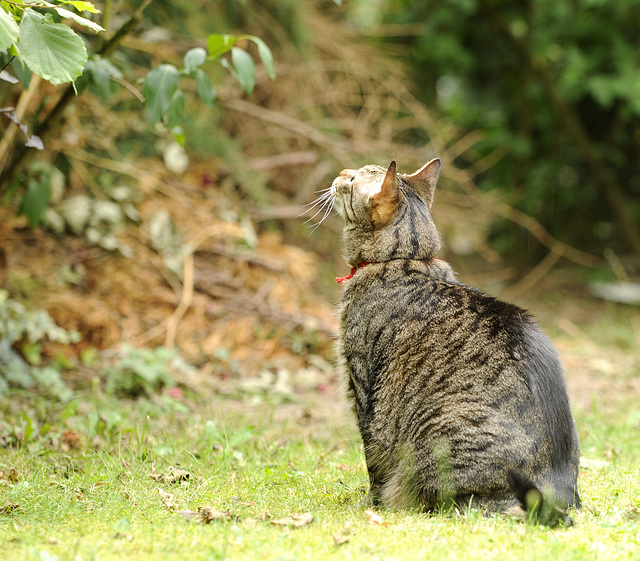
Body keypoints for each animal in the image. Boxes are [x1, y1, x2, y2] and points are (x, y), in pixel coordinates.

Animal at [328, 159, 584, 524]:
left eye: (352, 179)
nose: (339, 173)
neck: (407, 259)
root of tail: (556, 493)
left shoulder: (362, 388)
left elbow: (373, 460)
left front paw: (370, 505)